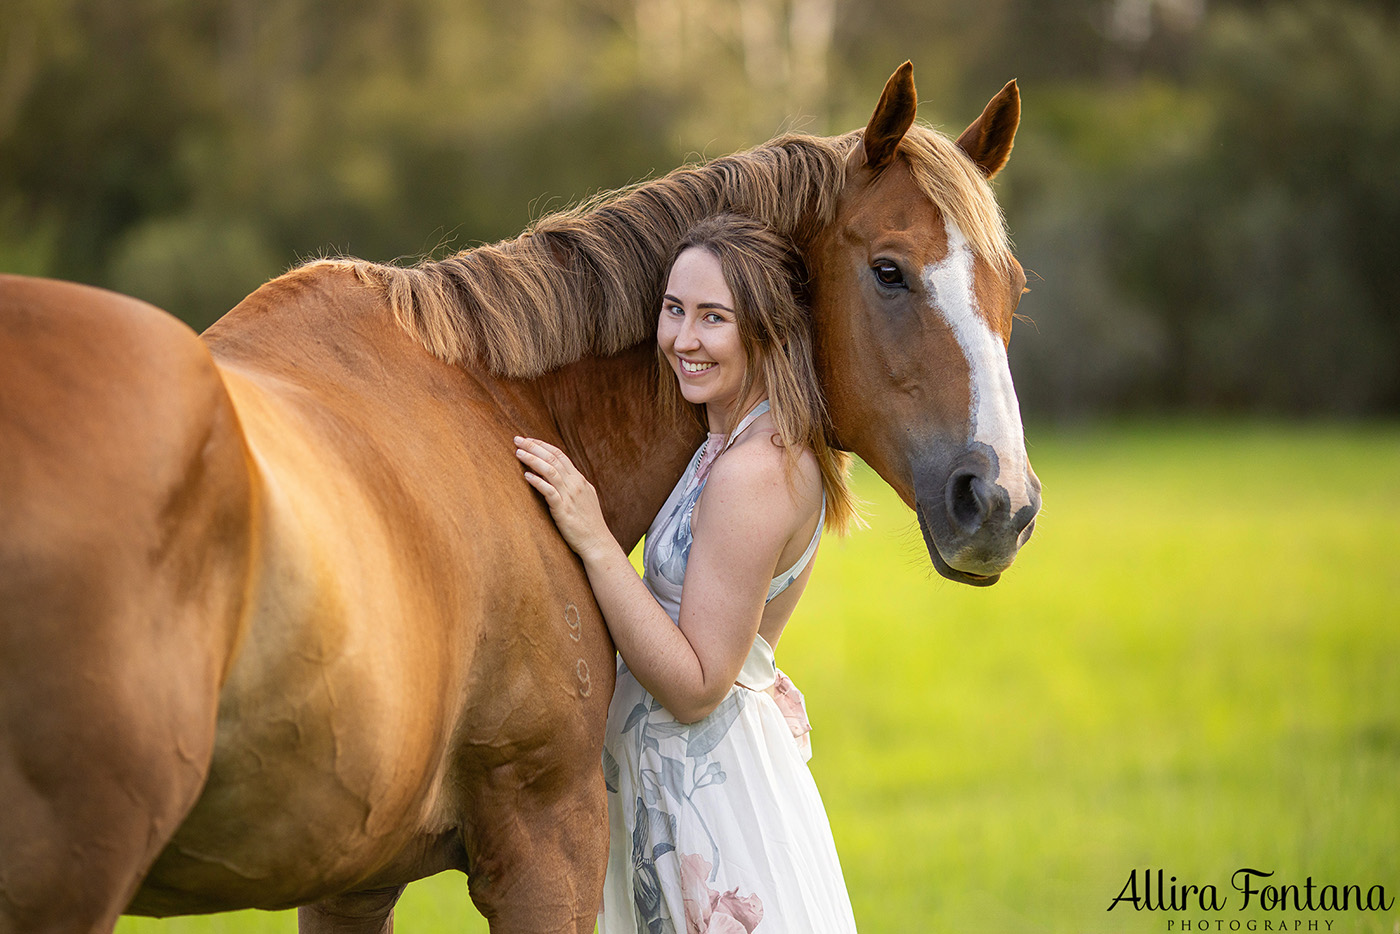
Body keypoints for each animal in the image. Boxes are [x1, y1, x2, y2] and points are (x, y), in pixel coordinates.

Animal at [0, 64, 1041, 934]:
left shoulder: (353, 878)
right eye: (890, 271)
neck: (494, 402)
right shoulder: (548, 841)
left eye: (1011, 287)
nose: (999, 501)